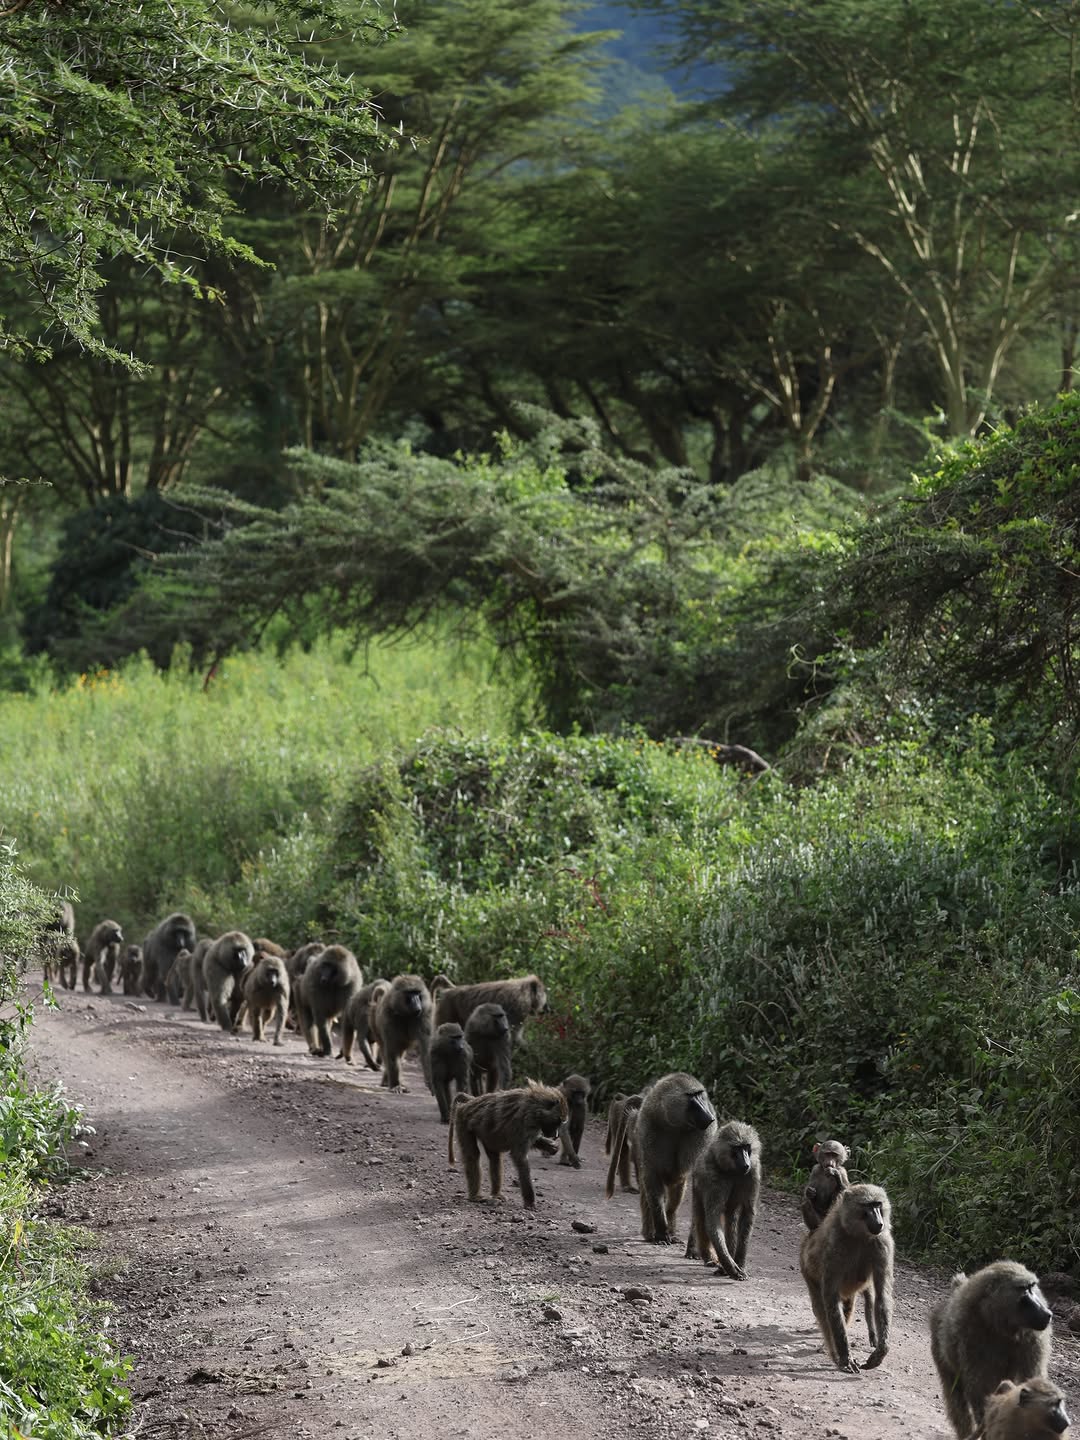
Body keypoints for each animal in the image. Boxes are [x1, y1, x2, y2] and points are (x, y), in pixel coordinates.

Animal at [448, 1081, 568, 1209]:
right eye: (558, 1121)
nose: (556, 1136)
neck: (535, 1106)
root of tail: (470, 1103)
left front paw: (551, 1146)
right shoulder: (525, 1122)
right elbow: (519, 1157)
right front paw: (529, 1201)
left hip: (488, 1134)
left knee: (495, 1158)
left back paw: (496, 1194)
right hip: (463, 1120)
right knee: (472, 1156)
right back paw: (475, 1196)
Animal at [611, 1072, 715, 1244]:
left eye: (700, 1094)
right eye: (691, 1096)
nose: (710, 1118)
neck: (675, 1125)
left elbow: (682, 1180)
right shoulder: (648, 1130)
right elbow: (653, 1177)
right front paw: (661, 1232)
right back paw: (649, 1233)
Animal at [684, 1120, 762, 1281]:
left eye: (746, 1147)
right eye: (736, 1148)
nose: (746, 1164)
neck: (732, 1171)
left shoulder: (753, 1173)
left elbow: (747, 1214)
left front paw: (739, 1264)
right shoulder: (713, 1178)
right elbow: (712, 1219)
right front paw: (731, 1266)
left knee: (731, 1220)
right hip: (697, 1187)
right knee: (700, 1218)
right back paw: (710, 1259)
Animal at [799, 1182, 893, 1374]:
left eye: (877, 1204)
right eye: (867, 1206)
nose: (879, 1222)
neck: (859, 1234)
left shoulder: (882, 1244)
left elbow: (882, 1297)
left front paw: (880, 1352)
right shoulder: (834, 1245)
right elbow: (830, 1298)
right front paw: (845, 1357)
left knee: (847, 1308)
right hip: (807, 1271)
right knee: (823, 1310)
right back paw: (834, 1353)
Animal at [931, 1262, 1054, 1437]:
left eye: (1032, 1286)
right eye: (1023, 1289)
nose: (1047, 1313)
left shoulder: (1033, 1337)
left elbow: (1031, 1378)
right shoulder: (969, 1333)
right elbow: (979, 1389)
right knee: (956, 1399)